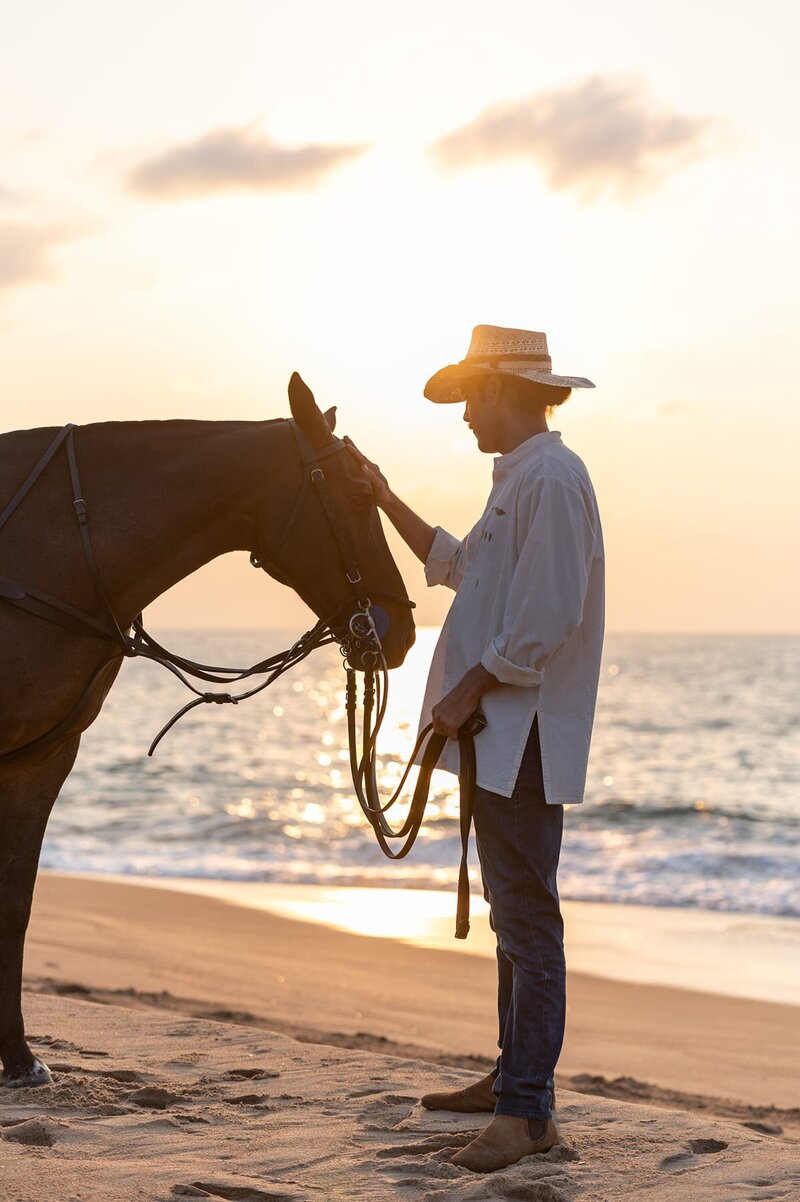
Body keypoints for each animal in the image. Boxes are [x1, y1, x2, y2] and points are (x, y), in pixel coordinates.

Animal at [0, 375, 410, 1091]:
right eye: (360, 496)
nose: (405, 627)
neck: (45, 549)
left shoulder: (44, 757)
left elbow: (16, 901)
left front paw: (18, 1058)